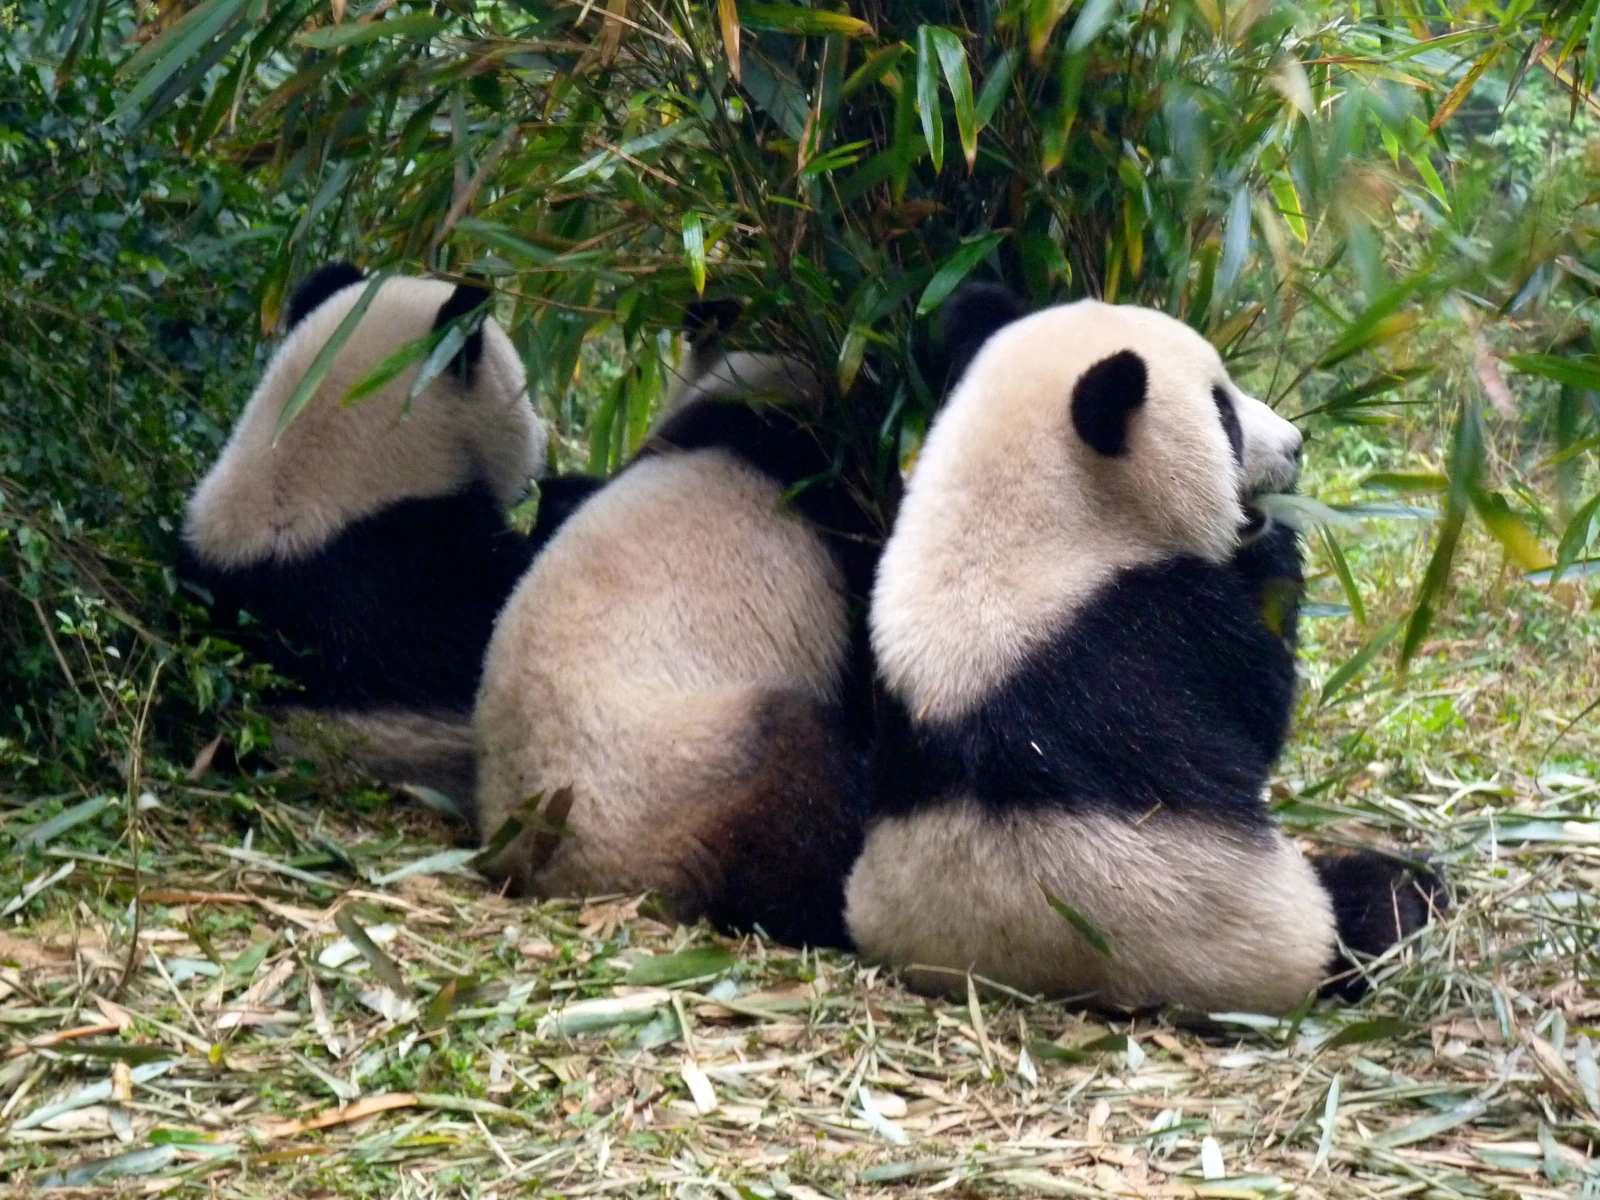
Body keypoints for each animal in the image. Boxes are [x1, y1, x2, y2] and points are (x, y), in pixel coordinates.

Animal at [844, 285, 1441, 1013]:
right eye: (1223, 413)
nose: (1297, 446)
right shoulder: (1158, 623)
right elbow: (1258, 703)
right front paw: (1276, 537)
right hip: (1267, 926)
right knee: (1366, 907)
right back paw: (1408, 893)